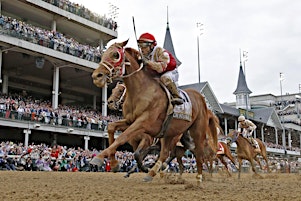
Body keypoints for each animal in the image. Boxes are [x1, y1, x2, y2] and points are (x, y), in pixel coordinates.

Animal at [89, 40, 218, 183]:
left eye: (115, 55)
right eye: (102, 54)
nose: (96, 76)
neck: (141, 91)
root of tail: (201, 99)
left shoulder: (144, 125)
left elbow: (124, 140)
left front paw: (98, 158)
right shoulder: (130, 122)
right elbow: (112, 128)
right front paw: (114, 164)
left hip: (197, 130)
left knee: (198, 152)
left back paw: (199, 177)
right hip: (170, 133)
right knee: (167, 154)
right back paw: (153, 172)